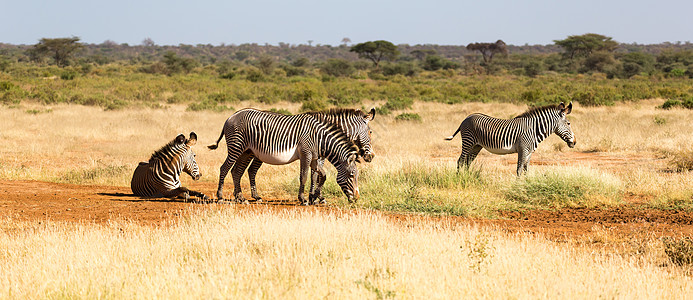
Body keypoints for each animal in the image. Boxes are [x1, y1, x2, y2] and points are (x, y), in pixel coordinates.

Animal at [207, 108, 360, 204]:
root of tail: (231, 116)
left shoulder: (315, 159)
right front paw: (303, 199)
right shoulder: (306, 155)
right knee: (224, 168)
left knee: (236, 171)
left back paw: (242, 198)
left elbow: (322, 176)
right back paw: (220, 197)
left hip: (246, 151)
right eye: (352, 175)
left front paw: (314, 197)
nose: (357, 198)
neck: (319, 138)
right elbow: (304, 177)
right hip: (236, 147)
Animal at [446, 102, 576, 176]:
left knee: (467, 162)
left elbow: (526, 169)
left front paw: (526, 184)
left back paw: (466, 178)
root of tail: (467, 117)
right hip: (468, 141)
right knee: (460, 161)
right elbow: (519, 169)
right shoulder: (522, 150)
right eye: (569, 123)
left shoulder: (529, 152)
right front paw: (518, 186)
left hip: (476, 146)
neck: (534, 130)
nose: (574, 142)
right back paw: (459, 179)